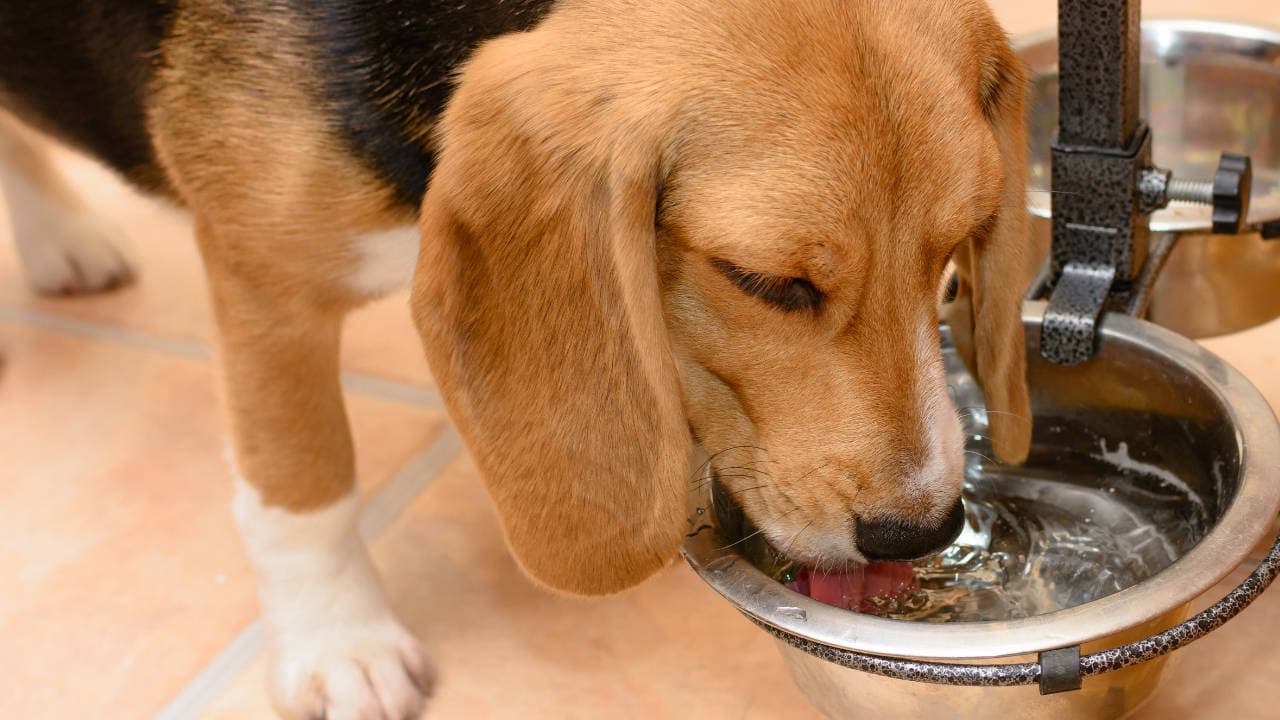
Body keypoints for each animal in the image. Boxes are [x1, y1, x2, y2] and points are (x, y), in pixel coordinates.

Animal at [0, 2, 1029, 712]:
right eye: (765, 281)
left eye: (956, 253)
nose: (920, 534)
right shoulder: (264, 285)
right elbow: (303, 480)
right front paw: (339, 643)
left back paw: (61, 239)